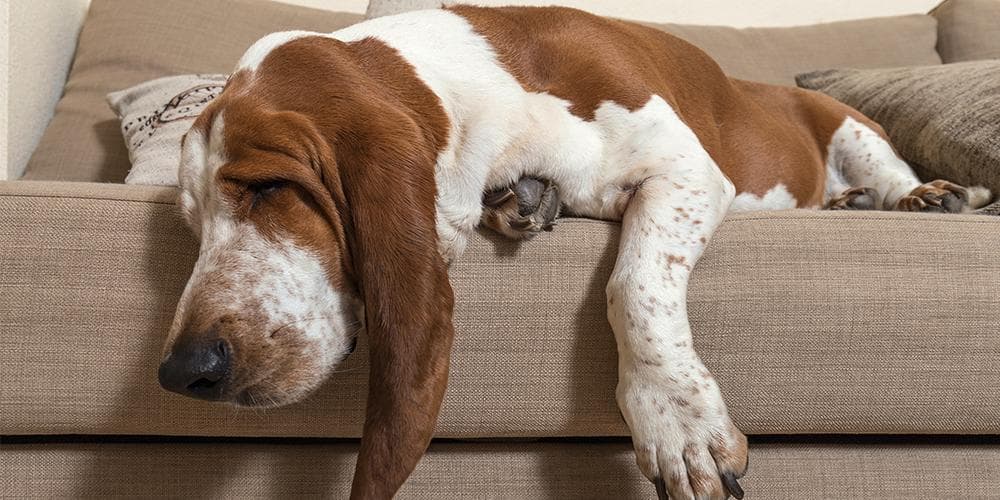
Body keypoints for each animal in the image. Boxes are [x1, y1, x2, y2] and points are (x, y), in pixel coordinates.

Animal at [158, 4, 992, 500]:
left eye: (267, 188)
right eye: (192, 225)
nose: (182, 371)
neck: (480, 90)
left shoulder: (683, 172)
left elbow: (633, 285)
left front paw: (678, 425)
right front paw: (524, 200)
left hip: (851, 127)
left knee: (888, 173)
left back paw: (926, 197)